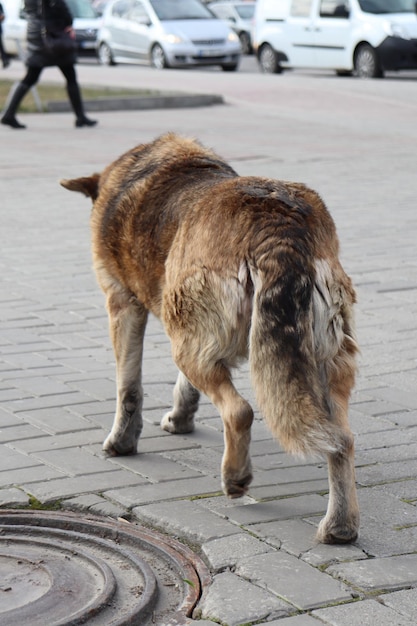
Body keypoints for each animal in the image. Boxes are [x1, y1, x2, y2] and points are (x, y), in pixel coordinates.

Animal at [60, 132, 360, 540]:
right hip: (326, 361)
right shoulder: (196, 336)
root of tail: (276, 224)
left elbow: (128, 388)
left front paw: (121, 442)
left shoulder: (122, 304)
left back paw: (235, 477)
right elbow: (184, 388)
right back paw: (340, 527)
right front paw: (181, 417)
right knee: (342, 440)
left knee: (239, 411)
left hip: (184, 344)